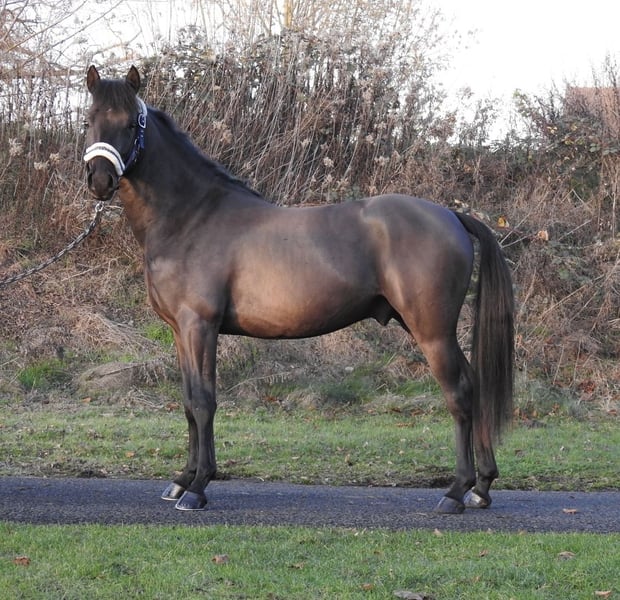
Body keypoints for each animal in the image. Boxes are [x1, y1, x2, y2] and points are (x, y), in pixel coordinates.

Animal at [84, 65, 514, 513]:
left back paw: (456, 491)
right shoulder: (179, 331)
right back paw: (481, 487)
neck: (191, 216)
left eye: (130, 123)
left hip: (432, 331)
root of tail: (450, 215)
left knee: (460, 393)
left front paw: (199, 487)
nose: (100, 179)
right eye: (88, 120)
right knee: (474, 388)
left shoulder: (199, 326)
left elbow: (204, 402)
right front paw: (182, 480)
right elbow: (187, 401)